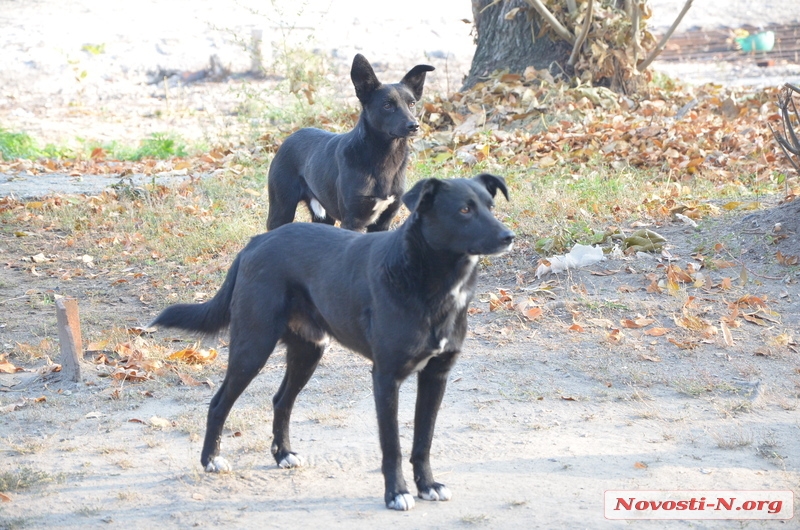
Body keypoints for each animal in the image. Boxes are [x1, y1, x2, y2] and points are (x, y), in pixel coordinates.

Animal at [149, 175, 512, 510]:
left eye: (491, 207)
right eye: (464, 210)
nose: (509, 236)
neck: (430, 279)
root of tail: (256, 241)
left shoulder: (436, 375)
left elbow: (424, 439)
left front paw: (427, 485)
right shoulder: (385, 377)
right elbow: (392, 445)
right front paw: (396, 493)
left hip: (309, 350)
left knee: (281, 401)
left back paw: (283, 454)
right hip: (253, 346)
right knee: (218, 404)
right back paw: (211, 459)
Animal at [268, 53, 432, 231]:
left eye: (412, 103)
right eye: (387, 105)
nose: (414, 126)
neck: (383, 156)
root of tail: (291, 136)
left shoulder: (383, 222)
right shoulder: (353, 221)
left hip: (323, 216)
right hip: (281, 209)